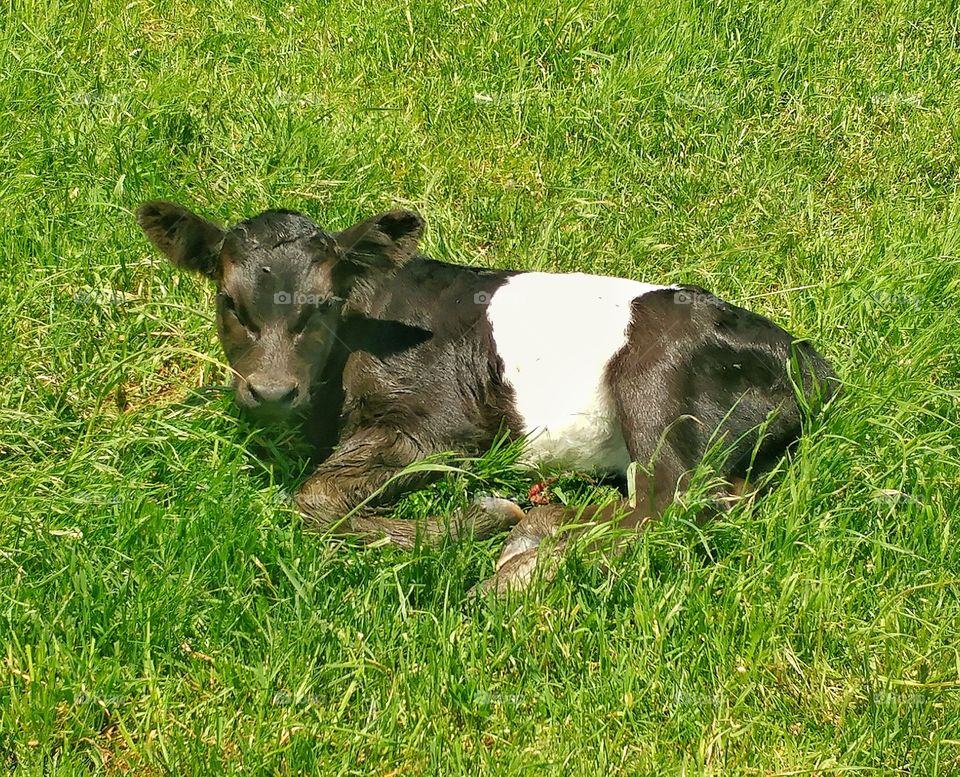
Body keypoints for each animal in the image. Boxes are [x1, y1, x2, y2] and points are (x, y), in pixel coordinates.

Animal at [136, 201, 837, 595]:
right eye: (229, 301)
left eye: (325, 304)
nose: (272, 390)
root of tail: (804, 354)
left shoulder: (438, 425)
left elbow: (312, 501)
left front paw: (476, 518)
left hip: (656, 378)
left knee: (673, 500)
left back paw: (518, 567)